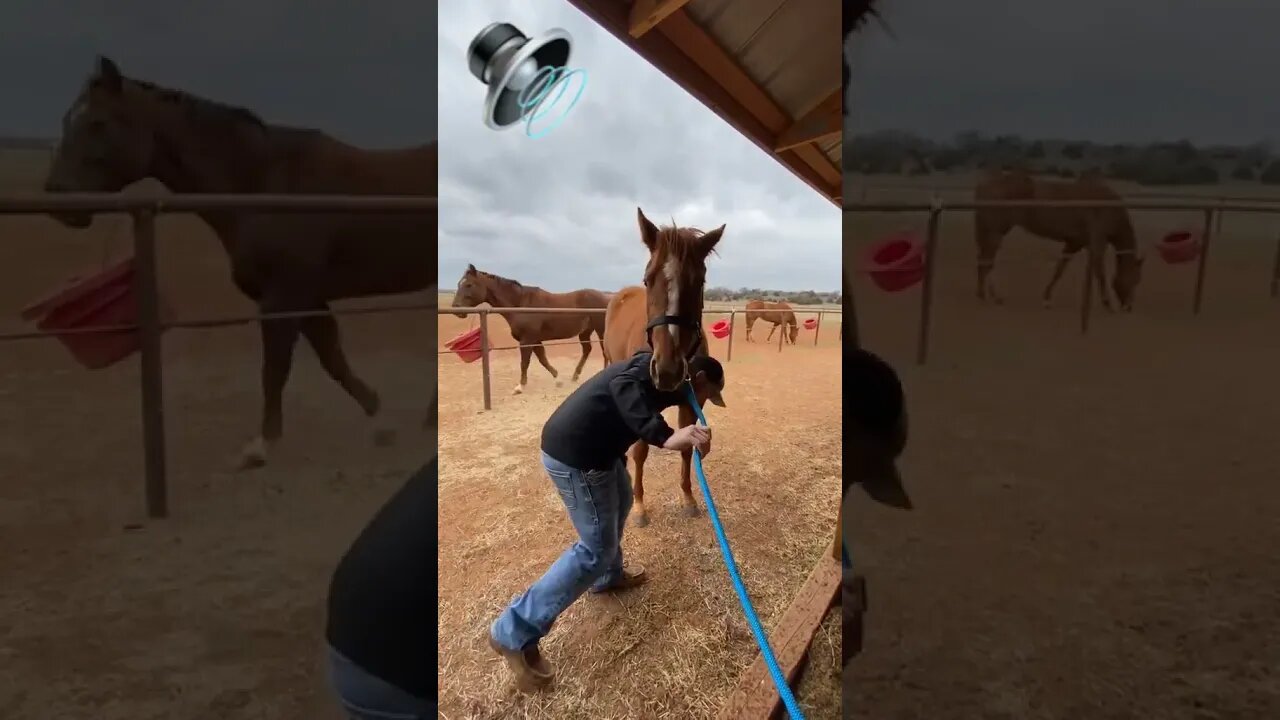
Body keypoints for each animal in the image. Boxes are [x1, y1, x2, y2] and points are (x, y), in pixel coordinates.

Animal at [42, 57, 437, 471]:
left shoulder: (282, 298)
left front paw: (261, 445)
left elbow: (275, 369)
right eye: (68, 120)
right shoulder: (306, 298)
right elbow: (332, 358)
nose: (57, 200)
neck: (265, 185)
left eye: (98, 122)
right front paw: (380, 418)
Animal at [450, 263, 609, 392]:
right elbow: (543, 359)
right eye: (459, 284)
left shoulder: (527, 340)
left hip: (601, 330)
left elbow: (524, 362)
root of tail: (606, 297)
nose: (456, 309)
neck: (520, 304)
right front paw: (558, 380)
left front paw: (520, 386)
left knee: (604, 351)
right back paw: (575, 375)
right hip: (585, 332)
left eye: (469, 285)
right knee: (587, 350)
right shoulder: (535, 340)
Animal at [604, 204, 727, 525]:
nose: (668, 371)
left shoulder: (692, 400)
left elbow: (686, 449)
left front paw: (688, 498)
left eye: (700, 282)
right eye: (648, 279)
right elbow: (640, 451)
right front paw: (638, 506)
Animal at [972, 169, 1146, 312]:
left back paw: (982, 294)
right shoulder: (1097, 243)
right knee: (987, 261)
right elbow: (1100, 273)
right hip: (996, 233)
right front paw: (1108, 303)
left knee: (983, 259)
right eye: (1135, 279)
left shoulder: (1074, 243)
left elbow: (1059, 269)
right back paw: (995, 296)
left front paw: (1046, 299)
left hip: (992, 232)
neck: (1109, 208)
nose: (1128, 307)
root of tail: (982, 185)